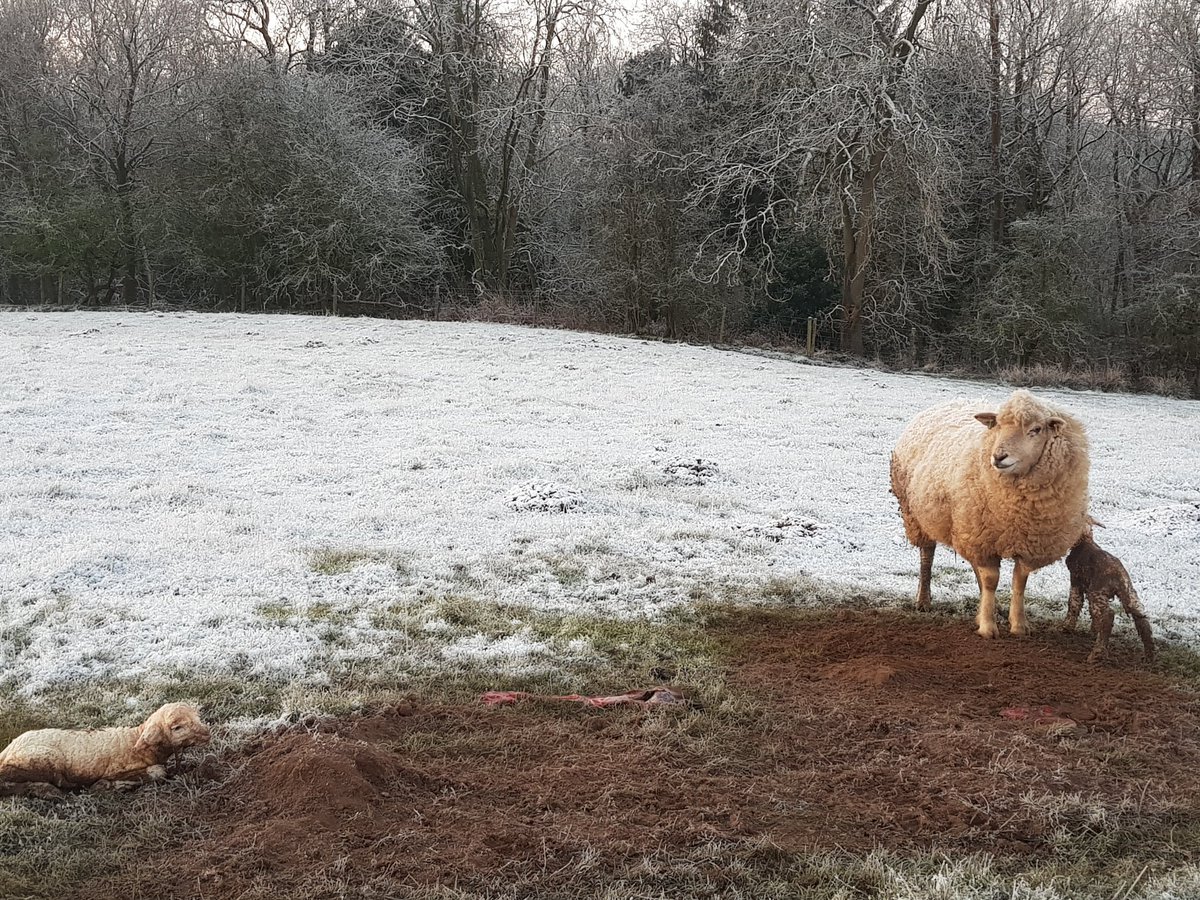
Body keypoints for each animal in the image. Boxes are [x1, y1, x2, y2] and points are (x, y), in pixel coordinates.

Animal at [0, 702, 210, 792]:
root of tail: (7, 750)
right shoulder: (116, 769)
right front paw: (113, 785)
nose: (207, 732)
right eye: (177, 727)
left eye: (197, 717)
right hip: (42, 760)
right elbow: (158, 771)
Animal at [890, 389, 1090, 638]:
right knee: (927, 555)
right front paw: (987, 626)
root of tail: (952, 401)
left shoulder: (1025, 544)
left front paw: (1018, 624)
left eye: (1035, 430)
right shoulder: (982, 537)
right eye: (998, 426)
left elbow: (1019, 580)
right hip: (917, 515)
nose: (999, 457)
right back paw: (924, 600)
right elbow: (991, 580)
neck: (1016, 509)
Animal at [1063, 523, 1155, 664]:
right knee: (1141, 618)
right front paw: (1094, 631)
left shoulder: (1075, 581)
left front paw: (1067, 627)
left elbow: (1074, 604)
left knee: (1108, 616)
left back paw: (1097, 653)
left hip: (1097, 592)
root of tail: (1117, 574)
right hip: (1128, 594)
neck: (1085, 541)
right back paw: (1149, 654)